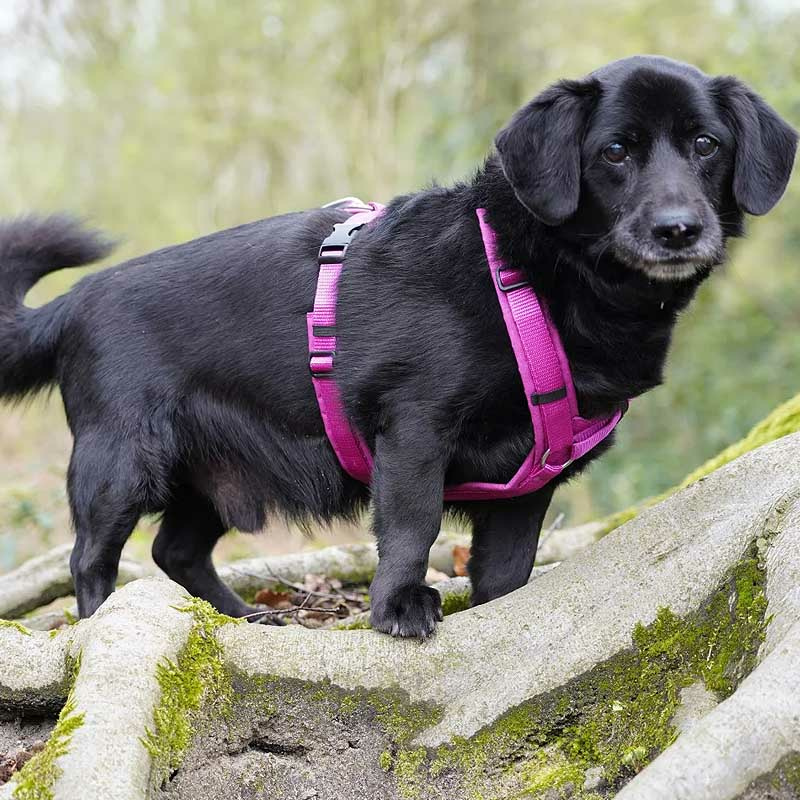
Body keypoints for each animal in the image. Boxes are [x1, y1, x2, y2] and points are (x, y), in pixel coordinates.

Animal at [0, 56, 792, 636]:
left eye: (706, 145)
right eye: (616, 152)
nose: (678, 229)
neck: (525, 277)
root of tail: (73, 303)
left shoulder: (528, 484)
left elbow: (507, 575)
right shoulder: (414, 429)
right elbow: (413, 525)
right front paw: (400, 607)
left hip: (214, 472)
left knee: (175, 550)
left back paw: (241, 619)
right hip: (120, 464)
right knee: (92, 559)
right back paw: (101, 623)